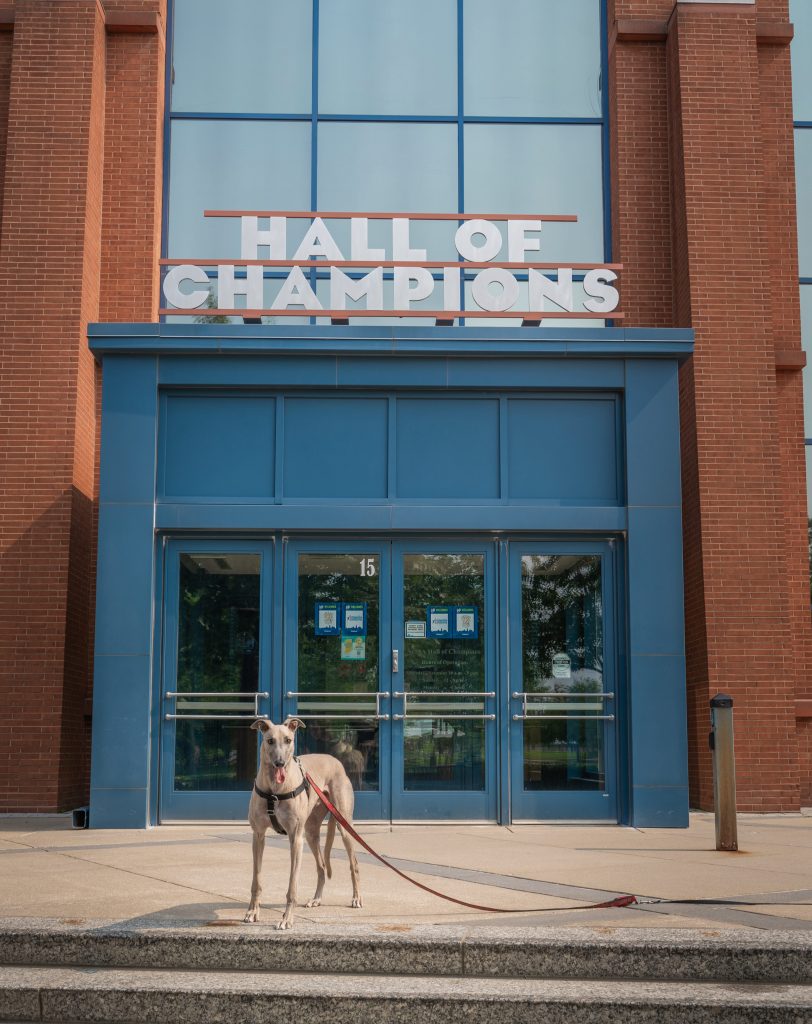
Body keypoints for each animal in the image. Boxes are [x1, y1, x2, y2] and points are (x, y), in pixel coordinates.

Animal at [242, 720, 362, 929]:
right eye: (270, 740)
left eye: (288, 740)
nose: (280, 763)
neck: (274, 790)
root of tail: (335, 760)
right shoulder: (258, 836)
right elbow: (256, 881)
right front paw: (252, 912)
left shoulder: (296, 838)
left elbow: (292, 886)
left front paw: (287, 919)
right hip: (311, 832)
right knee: (322, 866)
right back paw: (316, 899)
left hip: (343, 825)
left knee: (353, 863)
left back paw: (356, 898)